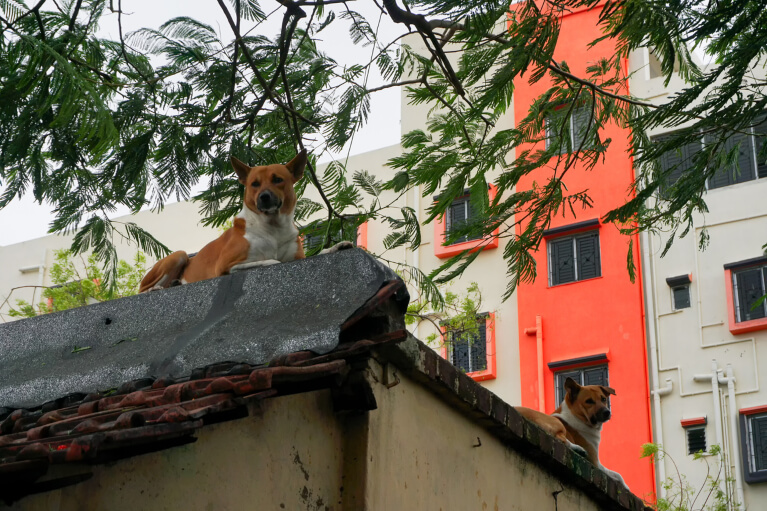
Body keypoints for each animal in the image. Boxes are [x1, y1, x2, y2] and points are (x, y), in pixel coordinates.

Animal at [140, 149, 352, 292]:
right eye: (254, 184)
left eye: (277, 179)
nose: (264, 197)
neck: (272, 227)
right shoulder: (226, 266)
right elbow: (270, 261)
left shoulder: (297, 257)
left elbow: (314, 254)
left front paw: (335, 247)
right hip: (179, 255)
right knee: (143, 290)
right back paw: (158, 288)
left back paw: (174, 283)